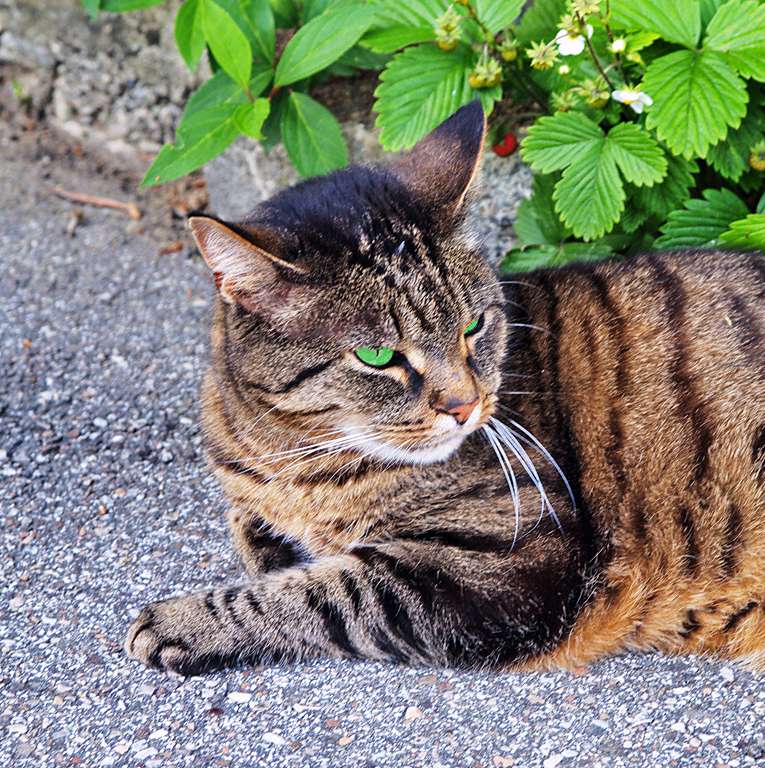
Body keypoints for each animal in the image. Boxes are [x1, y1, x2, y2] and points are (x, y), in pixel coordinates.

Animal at [125, 100, 764, 672]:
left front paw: (186, 621)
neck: (293, 451)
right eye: (377, 356)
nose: (466, 405)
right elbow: (254, 530)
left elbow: (327, 591)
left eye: (473, 326)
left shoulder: (516, 562)